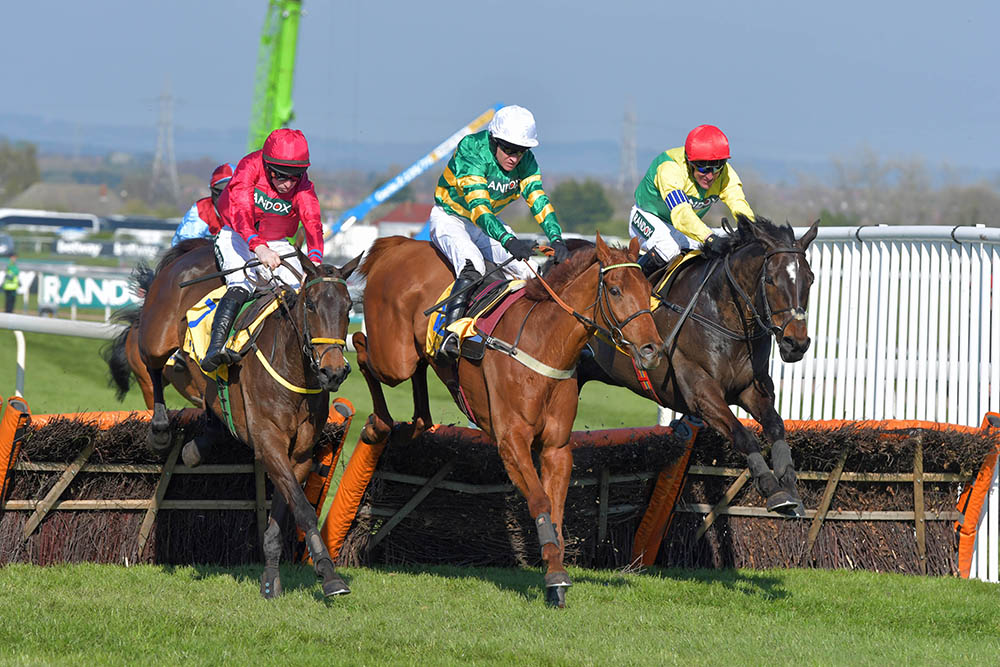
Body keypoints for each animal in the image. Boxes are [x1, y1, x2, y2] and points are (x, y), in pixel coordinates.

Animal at [137, 243, 360, 596]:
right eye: (311, 305)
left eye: (349, 307)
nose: (333, 371)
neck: (292, 367)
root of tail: (193, 250)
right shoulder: (269, 441)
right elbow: (303, 509)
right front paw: (329, 574)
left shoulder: (298, 454)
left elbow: (284, 509)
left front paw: (272, 577)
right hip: (156, 338)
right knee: (153, 366)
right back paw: (160, 430)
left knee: (212, 411)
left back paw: (196, 448)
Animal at [354, 234, 664, 604]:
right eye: (615, 290)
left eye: (648, 289)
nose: (652, 350)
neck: (544, 343)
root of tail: (400, 243)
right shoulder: (511, 441)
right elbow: (540, 499)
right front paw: (555, 575)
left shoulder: (557, 448)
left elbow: (556, 509)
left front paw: (555, 572)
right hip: (393, 358)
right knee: (362, 347)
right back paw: (378, 424)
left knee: (417, 383)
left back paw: (410, 425)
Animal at [580, 217, 820, 516]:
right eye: (770, 279)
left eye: (810, 278)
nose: (795, 343)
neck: (722, 315)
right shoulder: (700, 391)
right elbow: (743, 435)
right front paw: (771, 487)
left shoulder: (751, 388)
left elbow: (776, 425)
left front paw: (788, 483)